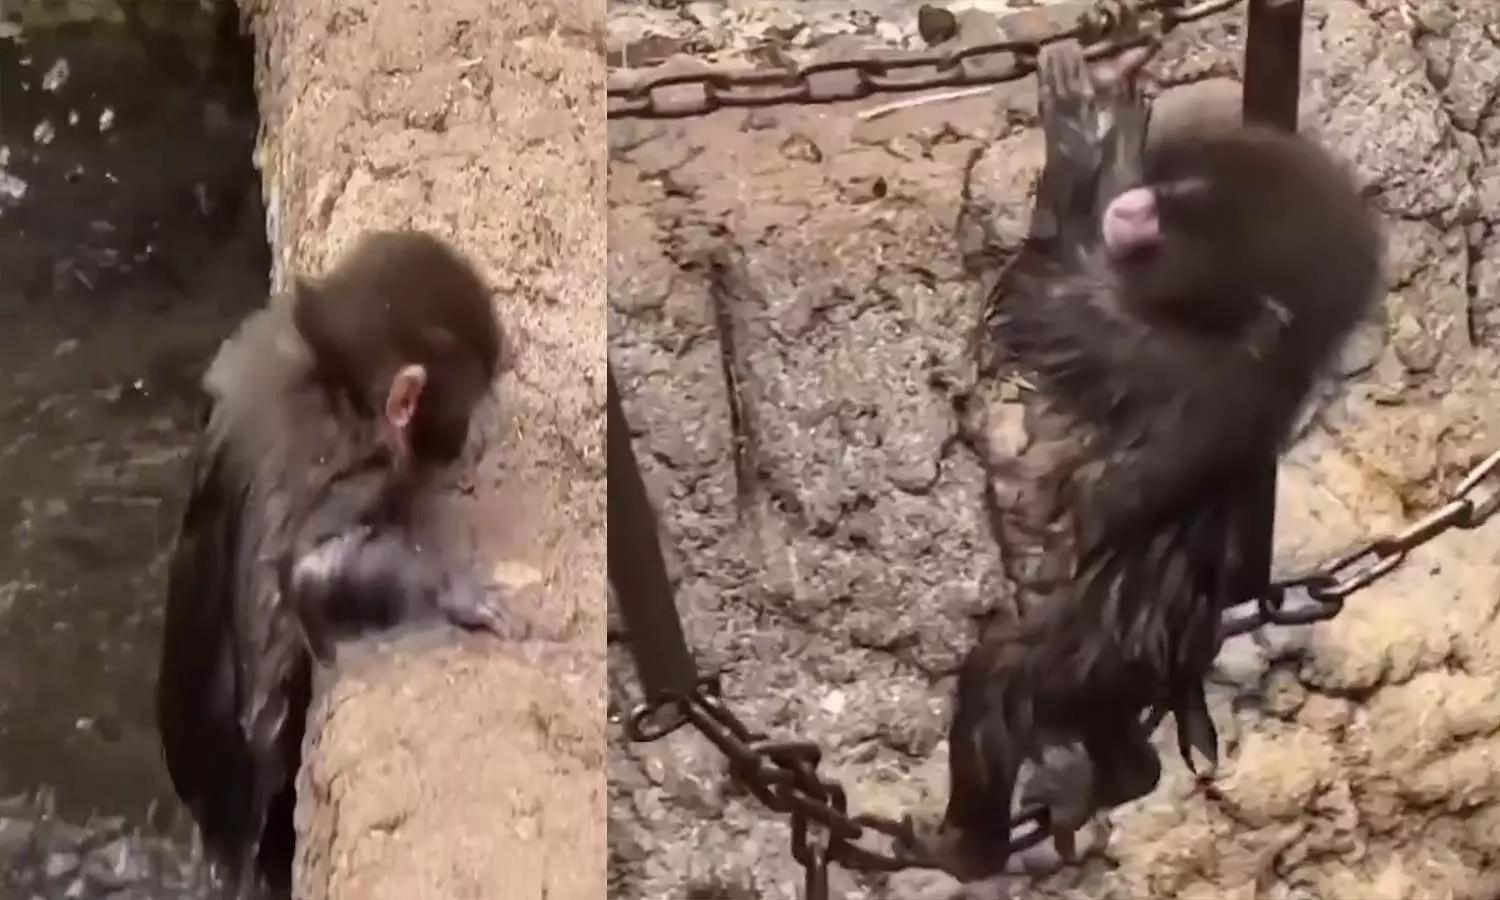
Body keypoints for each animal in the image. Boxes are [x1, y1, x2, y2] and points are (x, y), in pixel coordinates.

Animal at [154, 230, 517, 900]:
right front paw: (453, 594)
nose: (482, 434)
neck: (337, 380)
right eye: (473, 396)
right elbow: (309, 574)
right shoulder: (355, 469)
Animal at [929, 41, 1383, 881]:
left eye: (1182, 221)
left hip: (1089, 659)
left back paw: (968, 844)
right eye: (1175, 191)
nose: (1136, 206)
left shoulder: (1154, 353)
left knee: (1000, 678)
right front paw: (1116, 123)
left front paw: (1082, 136)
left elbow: (1041, 292)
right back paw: (1118, 777)